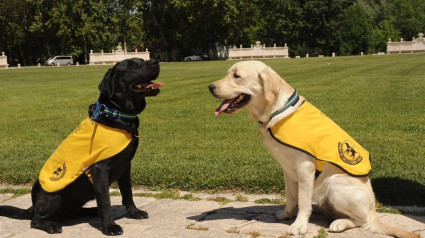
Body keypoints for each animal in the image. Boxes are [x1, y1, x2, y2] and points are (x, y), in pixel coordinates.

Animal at [29, 58, 162, 234]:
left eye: (142, 60)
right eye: (131, 65)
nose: (155, 60)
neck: (116, 112)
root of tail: (33, 204)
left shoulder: (125, 165)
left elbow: (128, 192)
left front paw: (134, 212)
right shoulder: (100, 169)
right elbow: (105, 200)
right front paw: (110, 227)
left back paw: (92, 211)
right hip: (55, 195)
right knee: (35, 220)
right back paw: (51, 225)